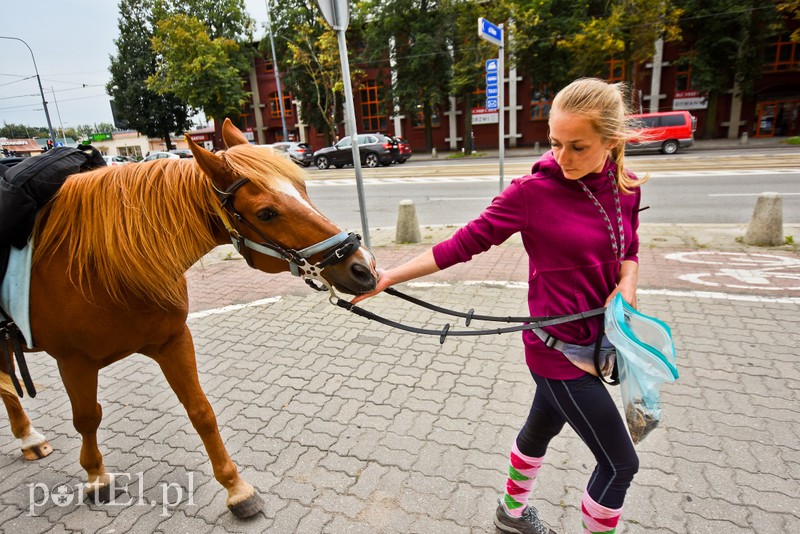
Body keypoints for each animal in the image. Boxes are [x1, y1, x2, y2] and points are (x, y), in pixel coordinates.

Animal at [0, 119, 378, 516]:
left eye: (304, 188)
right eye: (266, 213)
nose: (363, 266)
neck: (101, 266)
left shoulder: (173, 341)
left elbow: (201, 412)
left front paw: (236, 487)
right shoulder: (74, 362)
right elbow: (88, 417)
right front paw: (97, 477)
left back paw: (29, 438)